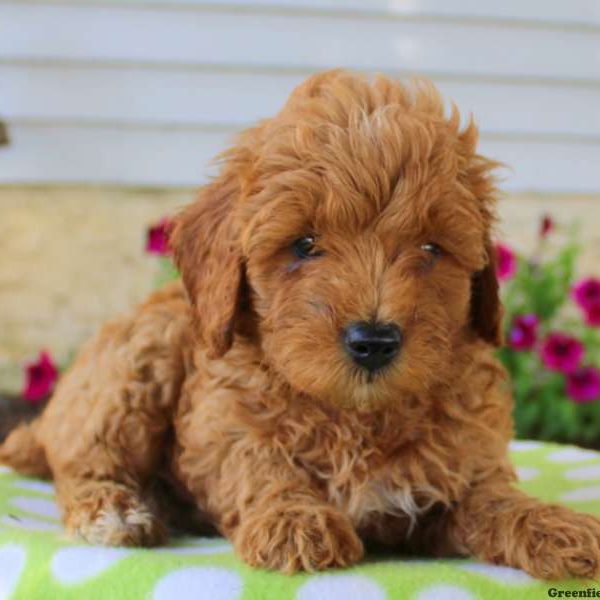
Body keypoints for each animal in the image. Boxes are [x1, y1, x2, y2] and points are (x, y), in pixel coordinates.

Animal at [1, 69, 600, 576]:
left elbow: (495, 499)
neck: (358, 416)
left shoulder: (457, 473)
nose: (374, 341)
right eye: (305, 244)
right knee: (82, 459)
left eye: (431, 248)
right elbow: (255, 460)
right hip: (138, 358)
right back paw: (115, 511)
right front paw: (294, 518)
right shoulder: (218, 420)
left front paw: (554, 525)